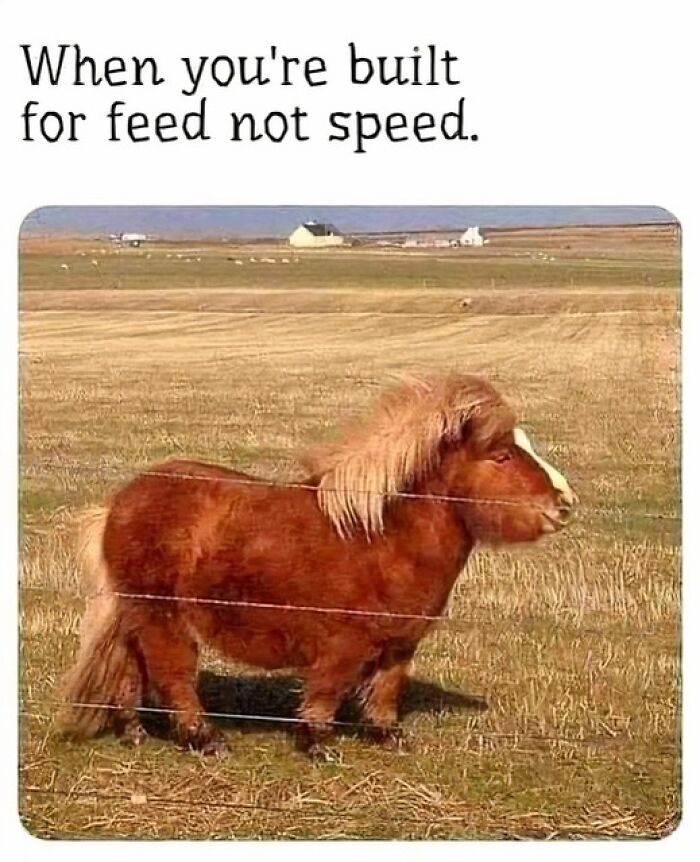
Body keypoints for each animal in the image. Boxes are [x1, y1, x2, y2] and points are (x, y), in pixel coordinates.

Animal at [57, 373, 576, 758]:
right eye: (502, 455)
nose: (565, 503)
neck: (381, 534)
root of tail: (120, 502)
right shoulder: (344, 643)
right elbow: (327, 691)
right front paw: (319, 745)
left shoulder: (400, 643)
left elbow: (386, 690)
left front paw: (388, 737)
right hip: (161, 617)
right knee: (172, 675)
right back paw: (204, 739)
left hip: (135, 616)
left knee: (129, 670)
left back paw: (133, 732)